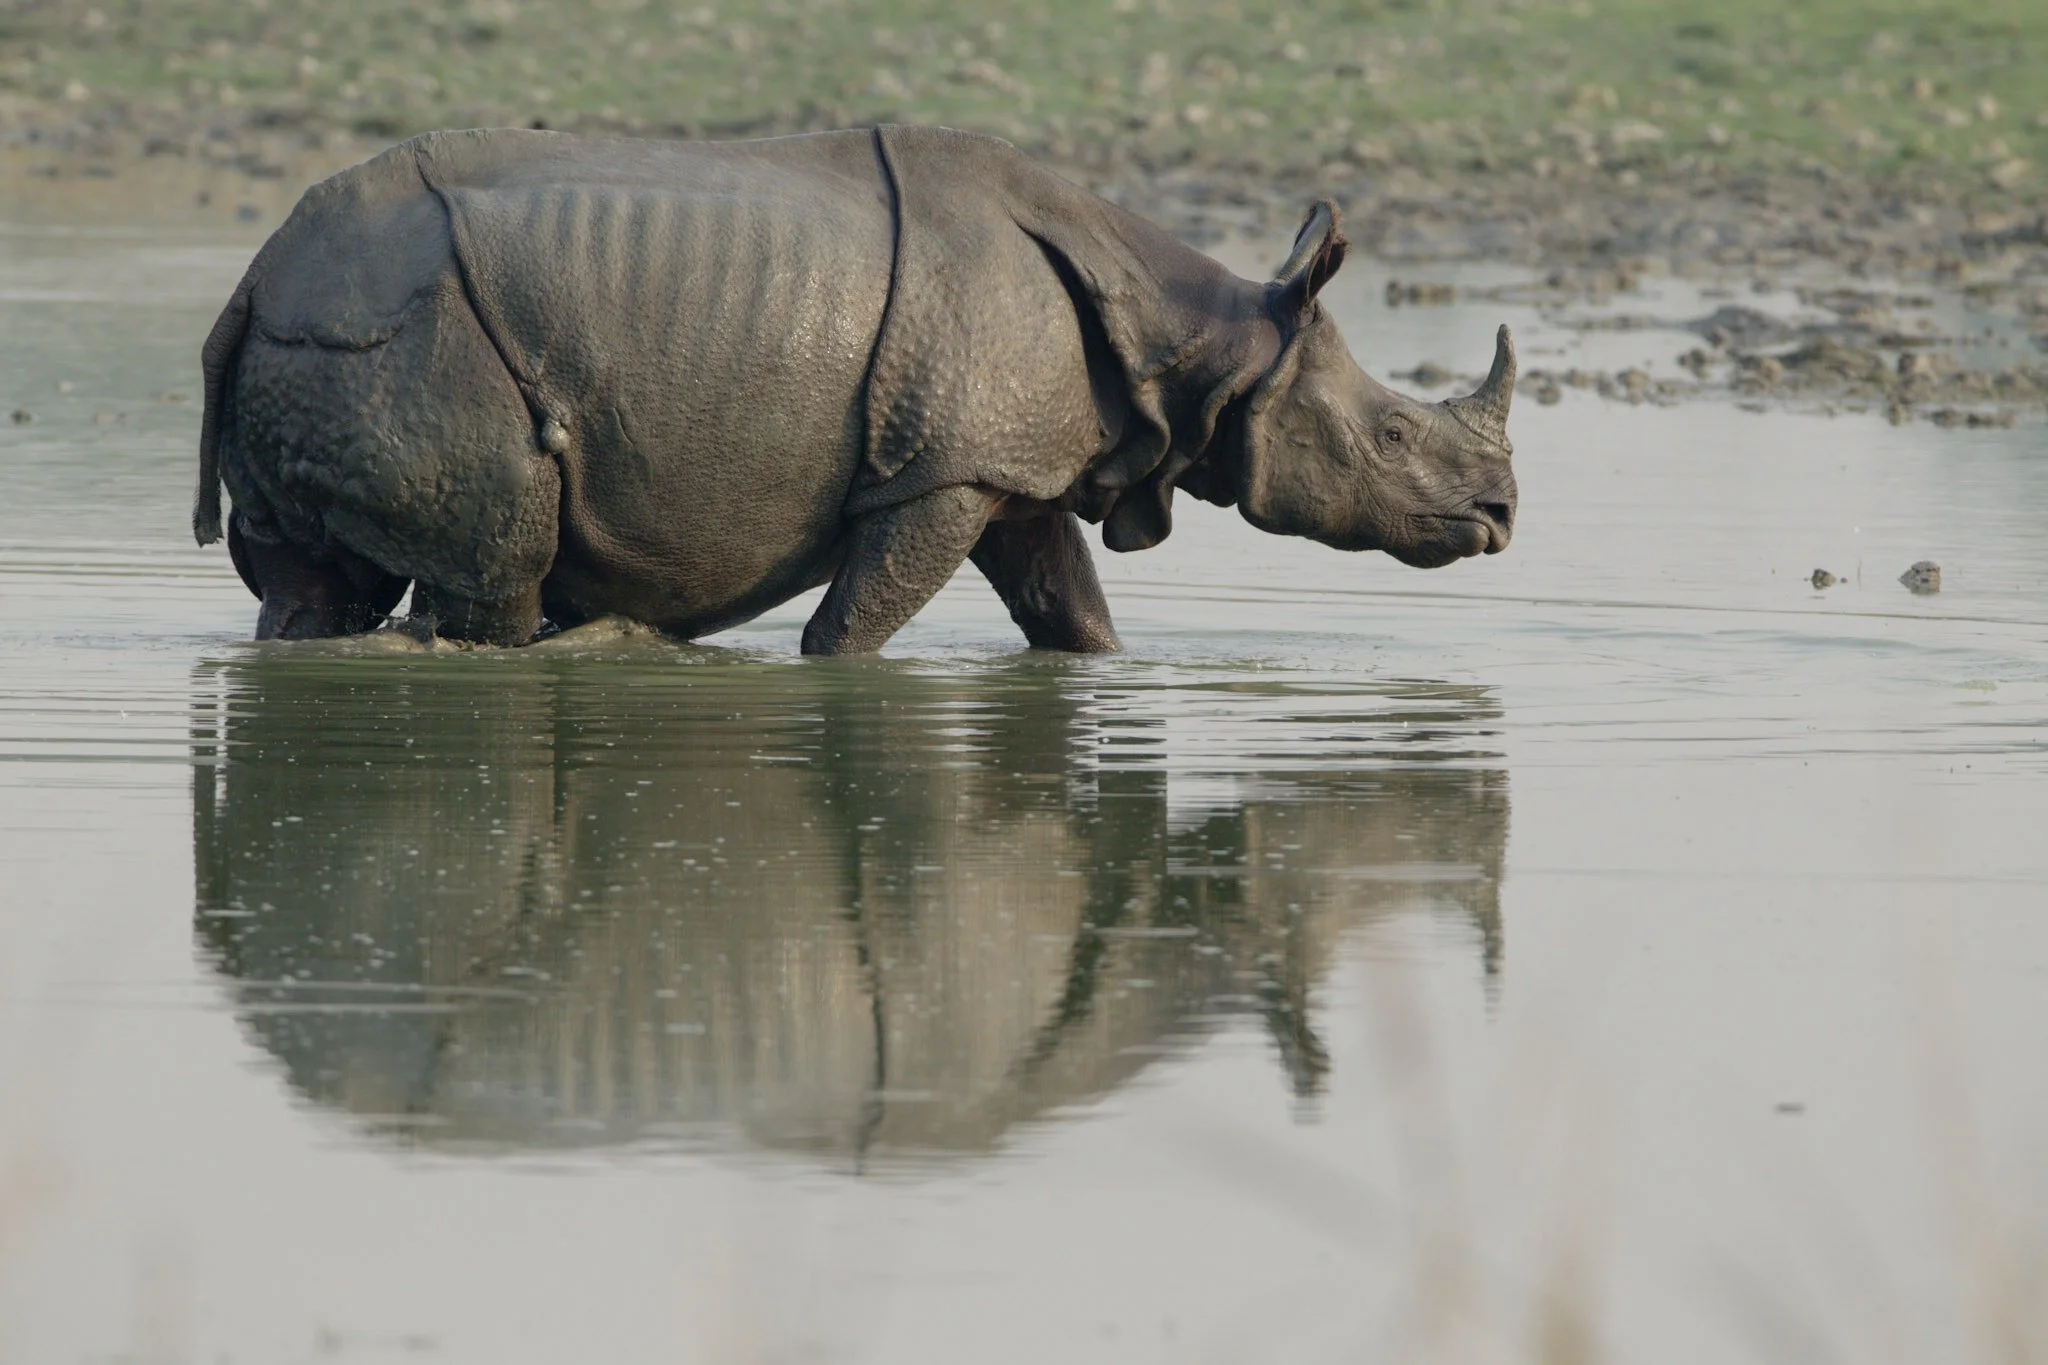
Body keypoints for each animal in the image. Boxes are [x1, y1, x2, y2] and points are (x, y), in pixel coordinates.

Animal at [194, 125, 1517, 652]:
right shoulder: (936, 474)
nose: (1500, 518)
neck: (1202, 342)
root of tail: (251, 279)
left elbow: (1071, 613)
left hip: (318, 350)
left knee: (314, 590)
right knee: (497, 577)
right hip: (403, 342)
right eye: (1391, 437)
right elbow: (852, 628)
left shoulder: (1003, 461)